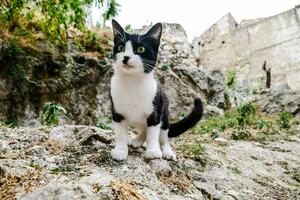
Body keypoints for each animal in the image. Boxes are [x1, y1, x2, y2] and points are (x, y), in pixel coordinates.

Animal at [110, 19, 204, 161]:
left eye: (140, 49)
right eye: (120, 48)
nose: (125, 57)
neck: (132, 82)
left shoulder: (156, 110)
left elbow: (153, 134)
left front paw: (153, 151)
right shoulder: (117, 111)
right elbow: (120, 134)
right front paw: (120, 150)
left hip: (164, 114)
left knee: (163, 136)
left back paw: (167, 151)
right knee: (144, 129)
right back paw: (137, 140)